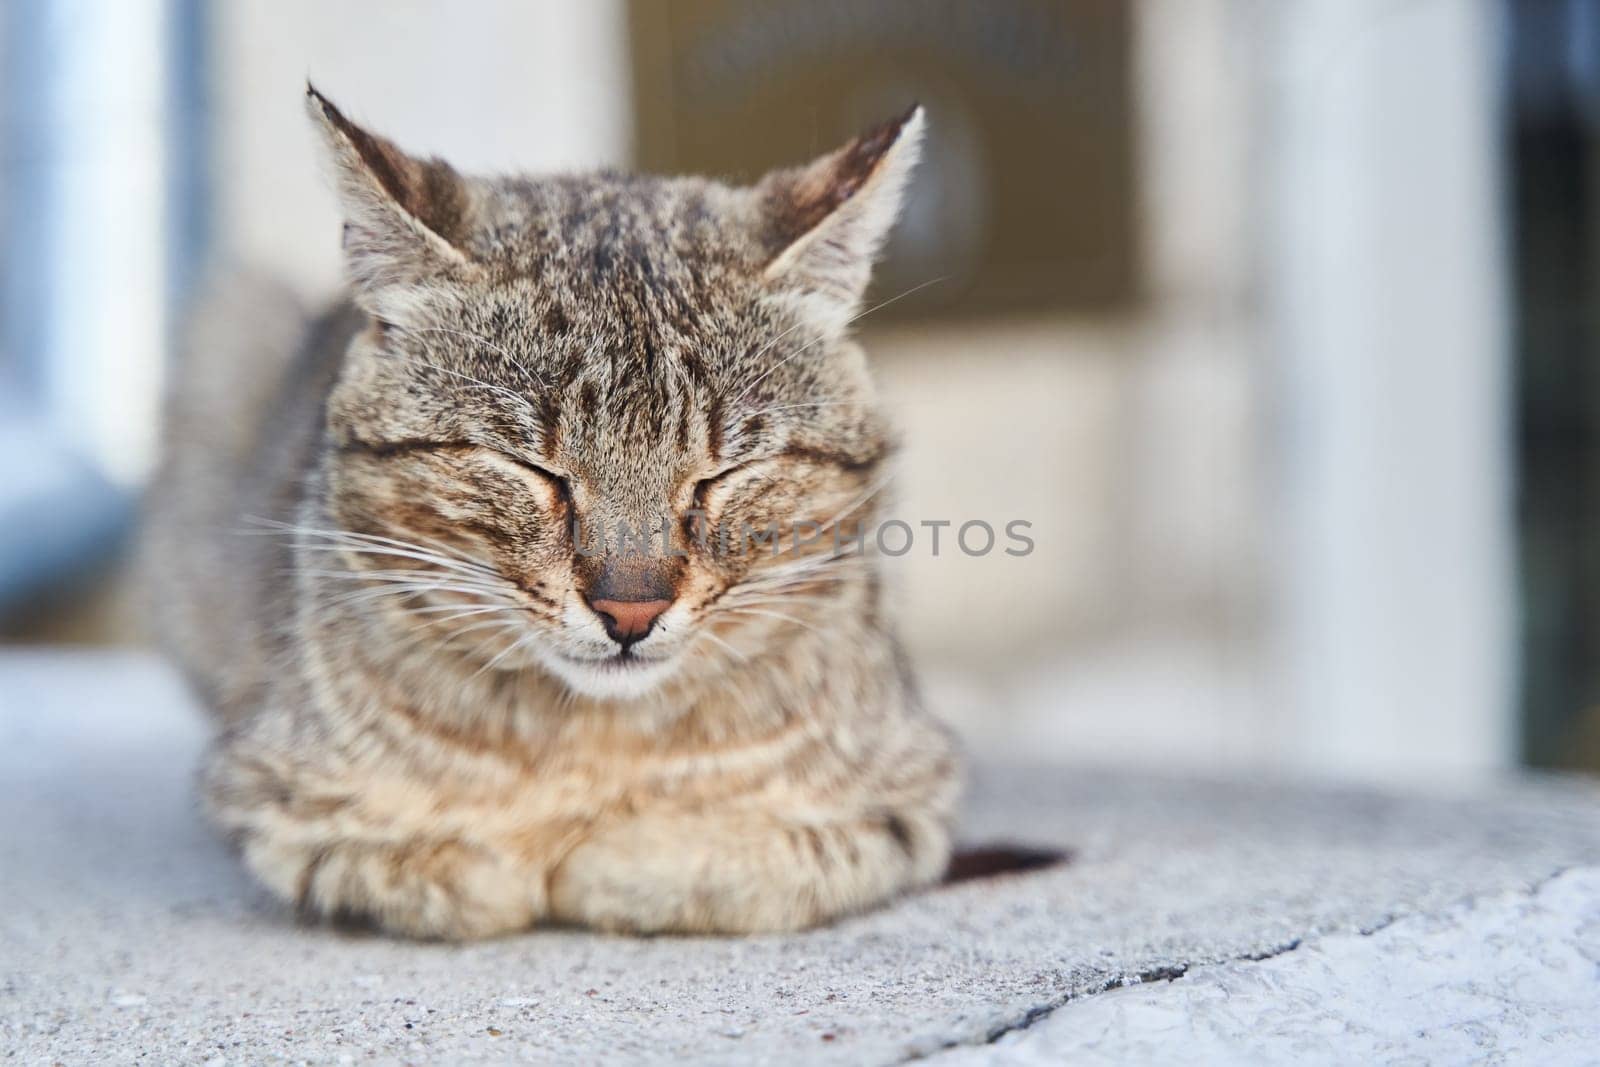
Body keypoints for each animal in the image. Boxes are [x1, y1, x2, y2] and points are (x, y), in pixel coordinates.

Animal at [147, 87, 960, 940]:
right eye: (535, 470)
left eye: (720, 476)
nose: (631, 610)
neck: (591, 743)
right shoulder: (268, 792)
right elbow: (436, 871)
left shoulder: (909, 794)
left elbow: (727, 863)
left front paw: (614, 856)